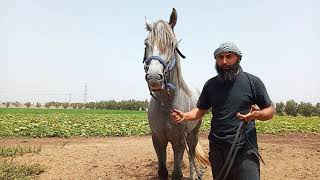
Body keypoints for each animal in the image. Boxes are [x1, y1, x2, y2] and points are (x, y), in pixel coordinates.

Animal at [142, 8, 208, 180]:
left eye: (172, 44)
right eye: (146, 43)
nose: (154, 77)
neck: (167, 105)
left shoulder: (179, 142)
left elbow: (177, 173)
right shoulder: (158, 140)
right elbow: (162, 171)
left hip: (193, 132)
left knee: (191, 154)